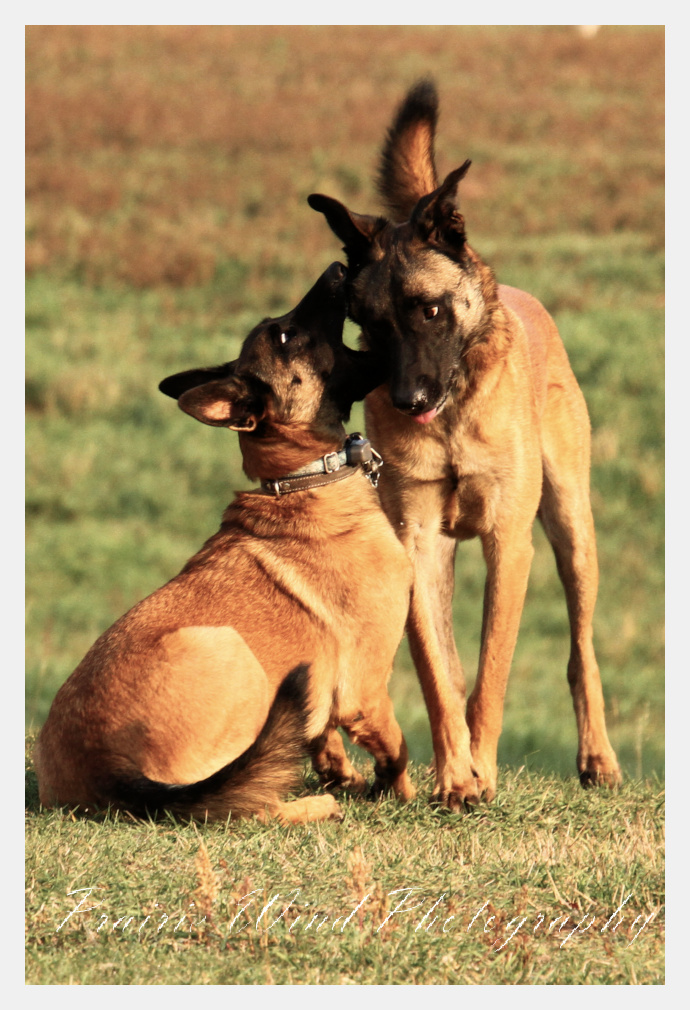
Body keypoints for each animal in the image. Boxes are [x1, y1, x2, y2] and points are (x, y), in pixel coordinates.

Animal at [34, 262, 415, 823]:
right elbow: (395, 747)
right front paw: (410, 796)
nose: (339, 268)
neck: (300, 479)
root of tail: (107, 775)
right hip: (228, 650)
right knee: (243, 807)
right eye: (285, 335)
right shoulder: (365, 689)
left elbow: (321, 737)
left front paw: (345, 774)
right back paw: (316, 805)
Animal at [308, 81, 622, 810]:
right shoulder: (417, 541)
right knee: (451, 665)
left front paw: (481, 768)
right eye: (370, 325)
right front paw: (456, 774)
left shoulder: (511, 542)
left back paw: (597, 759)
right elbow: (437, 674)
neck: (452, 420)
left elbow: (492, 674)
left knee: (581, 650)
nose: (407, 401)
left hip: (572, 529)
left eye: (430, 310)